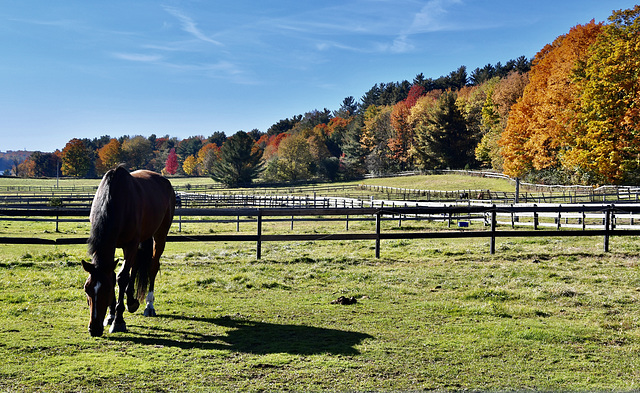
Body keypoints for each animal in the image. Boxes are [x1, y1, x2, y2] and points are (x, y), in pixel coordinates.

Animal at [84, 167, 178, 336]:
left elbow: (122, 277)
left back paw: (149, 305)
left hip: (159, 235)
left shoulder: (131, 244)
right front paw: (111, 315)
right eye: (86, 289)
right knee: (134, 266)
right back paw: (131, 301)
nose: (94, 329)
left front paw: (118, 321)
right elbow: (116, 274)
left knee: (152, 267)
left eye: (107, 290)